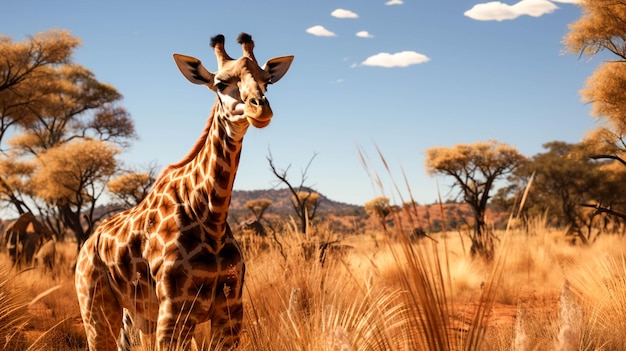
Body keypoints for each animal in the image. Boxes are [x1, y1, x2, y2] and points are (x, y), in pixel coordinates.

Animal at [74, 33, 294, 351]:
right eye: (220, 83)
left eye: (267, 81)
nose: (260, 109)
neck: (211, 216)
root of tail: (88, 242)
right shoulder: (174, 310)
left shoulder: (230, 309)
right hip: (96, 308)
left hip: (136, 315)